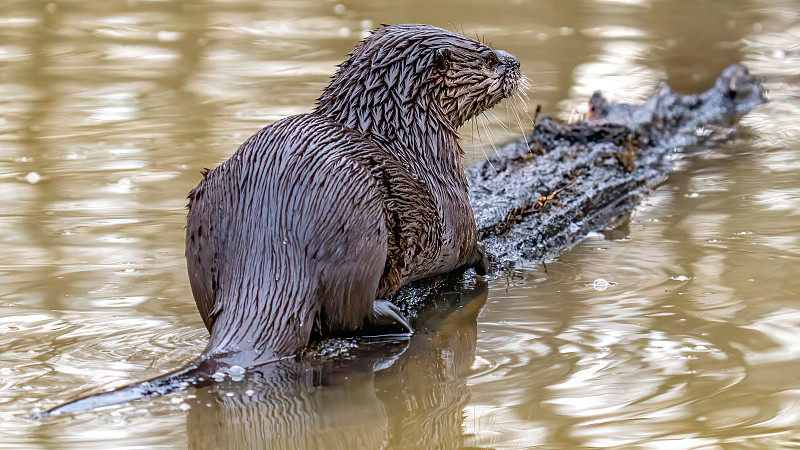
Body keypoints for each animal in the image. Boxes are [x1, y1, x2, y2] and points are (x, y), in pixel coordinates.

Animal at [40, 23, 520, 414]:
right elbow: (468, 245)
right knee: (351, 311)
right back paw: (393, 319)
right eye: (488, 56)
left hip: (202, 227)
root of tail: (274, 247)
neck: (410, 136)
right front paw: (486, 257)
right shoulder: (455, 203)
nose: (515, 61)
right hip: (362, 230)